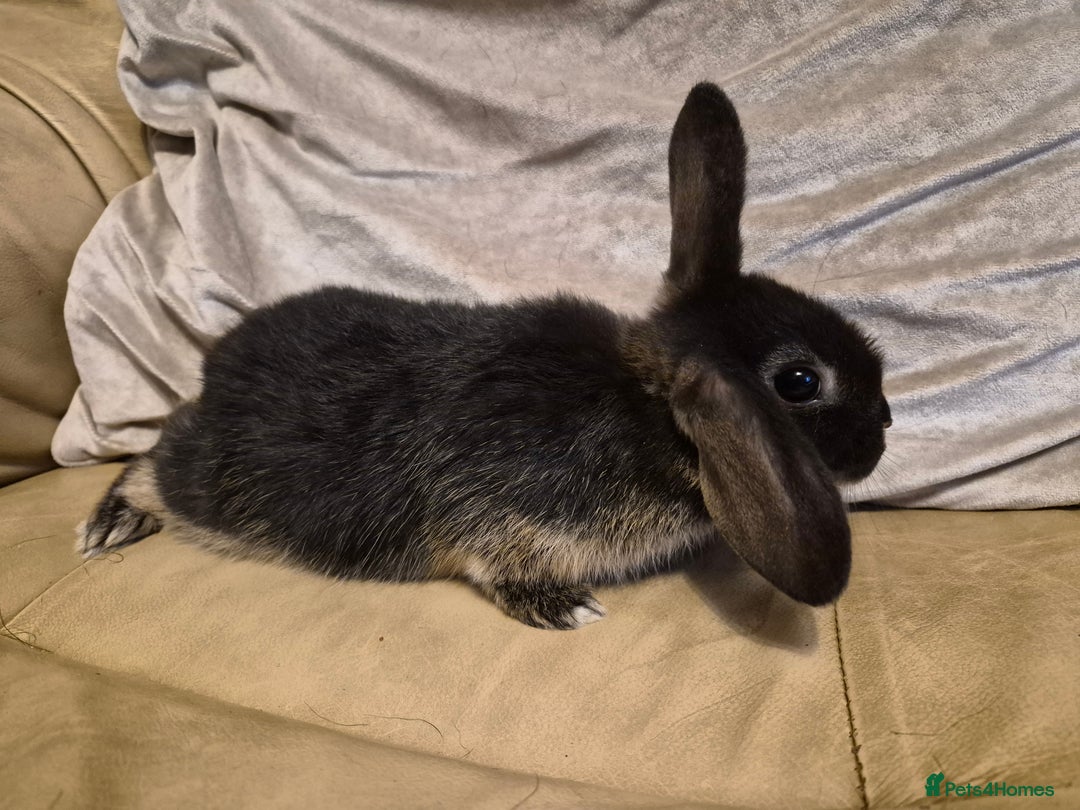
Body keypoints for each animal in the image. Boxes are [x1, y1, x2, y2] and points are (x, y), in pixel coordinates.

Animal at [77, 83, 890, 630]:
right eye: (800, 381)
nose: (884, 422)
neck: (644, 408)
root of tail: (214, 370)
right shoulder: (508, 523)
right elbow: (500, 566)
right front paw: (567, 609)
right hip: (211, 486)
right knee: (150, 461)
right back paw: (110, 525)